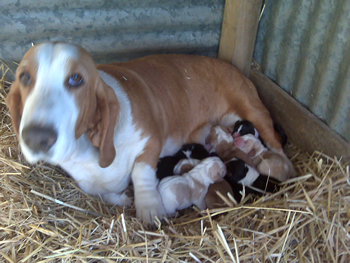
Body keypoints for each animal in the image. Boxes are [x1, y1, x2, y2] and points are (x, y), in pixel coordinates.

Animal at [5, 42, 284, 226]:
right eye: (24, 77)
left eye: (76, 79)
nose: (36, 137)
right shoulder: (86, 181)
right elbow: (101, 191)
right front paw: (123, 199)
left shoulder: (151, 142)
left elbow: (142, 172)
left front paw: (149, 209)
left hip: (253, 110)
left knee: (275, 146)